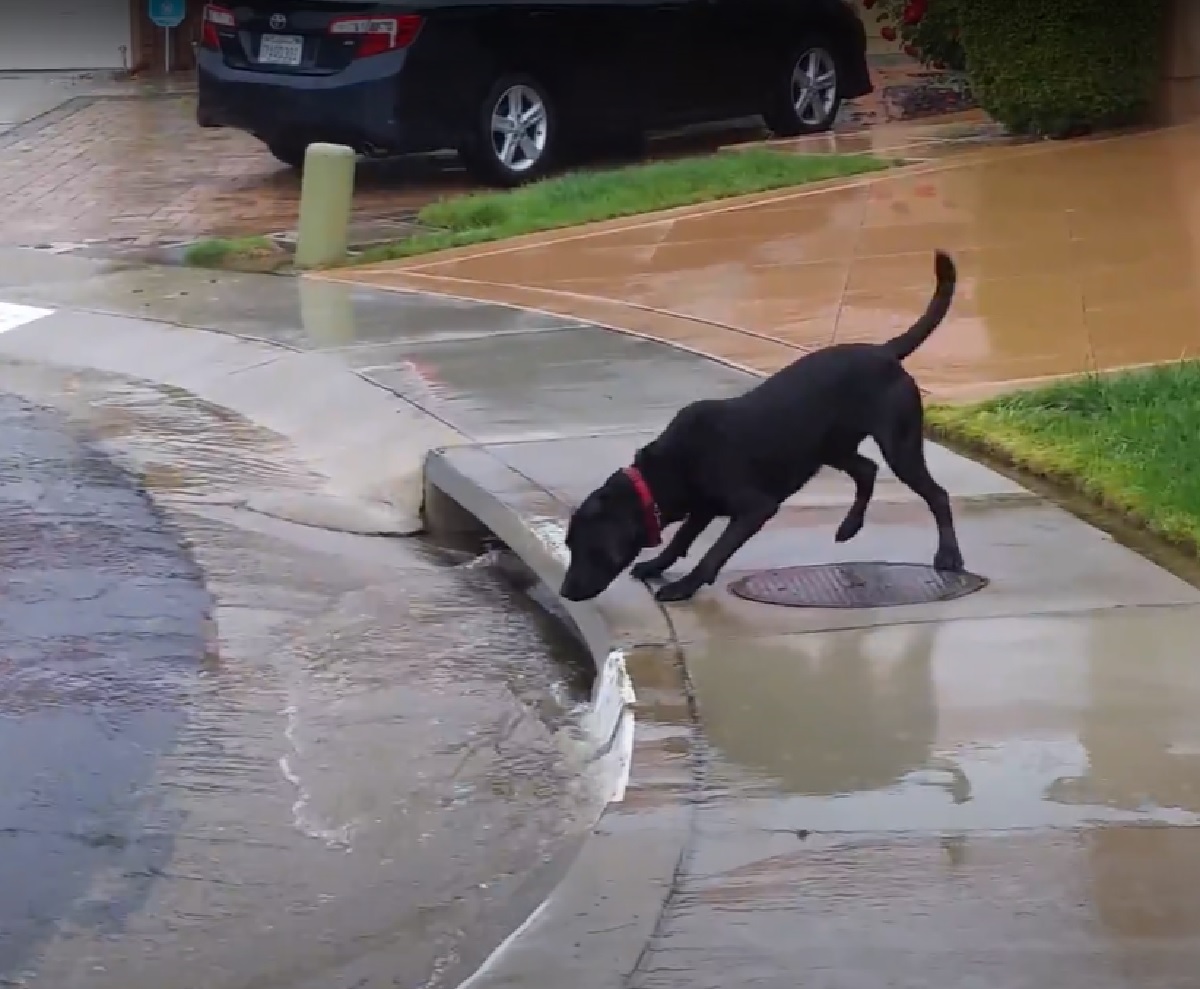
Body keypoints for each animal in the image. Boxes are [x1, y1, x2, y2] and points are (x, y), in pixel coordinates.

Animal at [561, 249, 964, 602]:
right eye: (569, 544)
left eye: (587, 547)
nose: (565, 592)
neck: (665, 471)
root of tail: (884, 351)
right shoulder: (703, 506)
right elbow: (681, 540)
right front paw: (655, 565)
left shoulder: (755, 508)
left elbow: (714, 551)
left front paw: (684, 586)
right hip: (829, 447)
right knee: (867, 469)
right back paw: (849, 527)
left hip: (898, 443)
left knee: (936, 494)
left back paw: (949, 556)